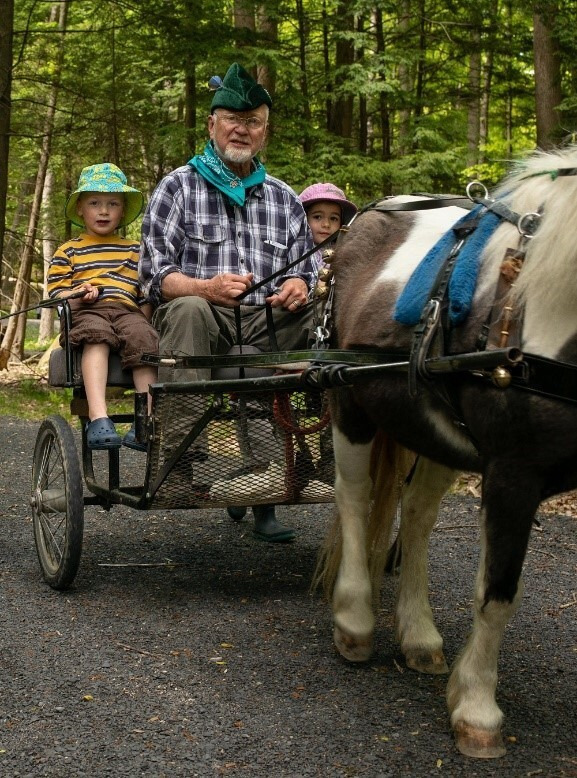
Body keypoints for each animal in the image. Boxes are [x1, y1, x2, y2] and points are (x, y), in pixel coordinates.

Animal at [312, 146, 576, 756]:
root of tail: (364, 218)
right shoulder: (513, 475)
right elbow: (497, 591)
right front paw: (476, 708)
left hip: (432, 427)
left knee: (417, 518)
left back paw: (419, 637)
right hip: (349, 401)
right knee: (355, 498)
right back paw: (355, 620)